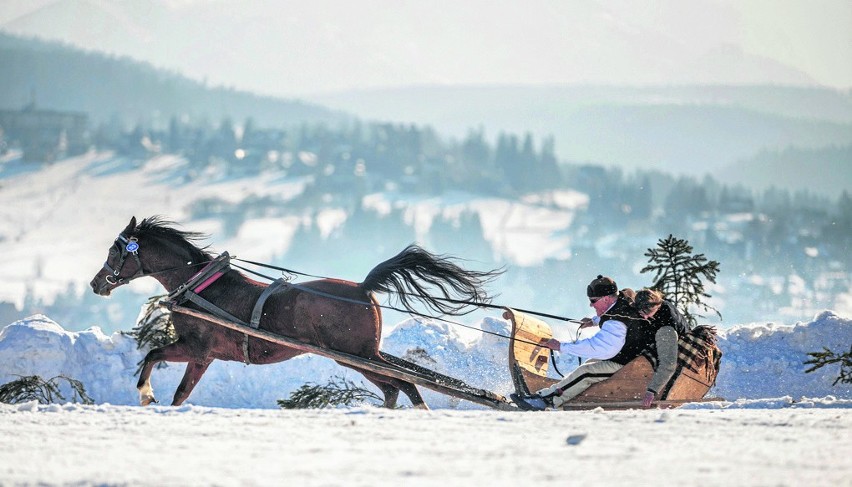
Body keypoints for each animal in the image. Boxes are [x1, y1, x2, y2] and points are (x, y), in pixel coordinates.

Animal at [88, 215, 500, 410]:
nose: (96, 284)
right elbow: (180, 393)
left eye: (114, 251)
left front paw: (145, 396)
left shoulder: (196, 347)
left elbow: (152, 357)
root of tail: (363, 288)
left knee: (403, 385)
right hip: (364, 356)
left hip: (356, 356)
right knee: (399, 387)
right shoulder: (205, 357)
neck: (200, 285)